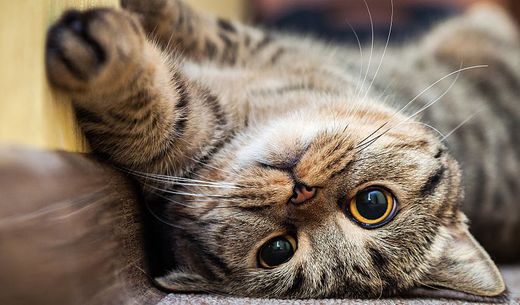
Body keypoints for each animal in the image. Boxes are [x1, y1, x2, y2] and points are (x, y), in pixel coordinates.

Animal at [45, 0, 520, 300]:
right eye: (374, 204)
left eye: (277, 251)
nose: (301, 191)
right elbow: (189, 21)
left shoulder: (192, 137)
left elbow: (160, 113)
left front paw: (107, 61)